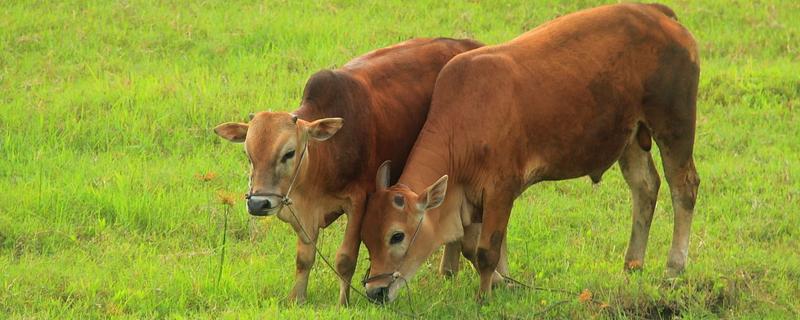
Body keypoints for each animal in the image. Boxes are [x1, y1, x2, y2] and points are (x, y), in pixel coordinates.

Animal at [212, 38, 482, 304]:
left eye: (289, 153)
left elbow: (345, 259)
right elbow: (304, 258)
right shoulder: (302, 211)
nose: (258, 204)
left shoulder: (358, 201)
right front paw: (297, 298)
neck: (325, 155)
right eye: (248, 155)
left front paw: (344, 302)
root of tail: (470, 44)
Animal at [360, 3, 696, 302]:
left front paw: (484, 295)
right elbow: (471, 247)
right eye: (365, 238)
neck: (465, 120)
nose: (375, 292)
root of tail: (657, 13)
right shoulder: (471, 197)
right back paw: (632, 265)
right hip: (631, 136)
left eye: (397, 235)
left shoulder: (501, 189)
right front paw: (504, 283)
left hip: (674, 125)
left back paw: (673, 269)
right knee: (645, 187)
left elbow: (486, 251)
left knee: (684, 189)